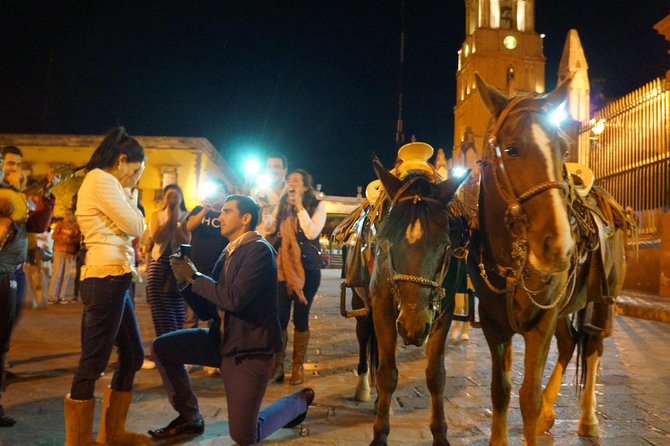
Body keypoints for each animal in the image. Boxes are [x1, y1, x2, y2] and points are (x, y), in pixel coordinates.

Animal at [368, 160, 472, 446]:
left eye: (446, 244)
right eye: (388, 242)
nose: (412, 327)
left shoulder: (443, 311)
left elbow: (436, 375)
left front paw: (440, 434)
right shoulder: (380, 306)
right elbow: (387, 374)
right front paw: (379, 433)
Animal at [472, 74, 636, 446]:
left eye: (563, 148)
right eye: (511, 149)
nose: (560, 247)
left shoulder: (541, 322)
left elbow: (527, 396)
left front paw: (538, 412)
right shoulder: (493, 324)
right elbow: (500, 390)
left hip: (603, 299)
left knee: (592, 348)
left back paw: (588, 419)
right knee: (568, 344)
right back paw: (551, 411)